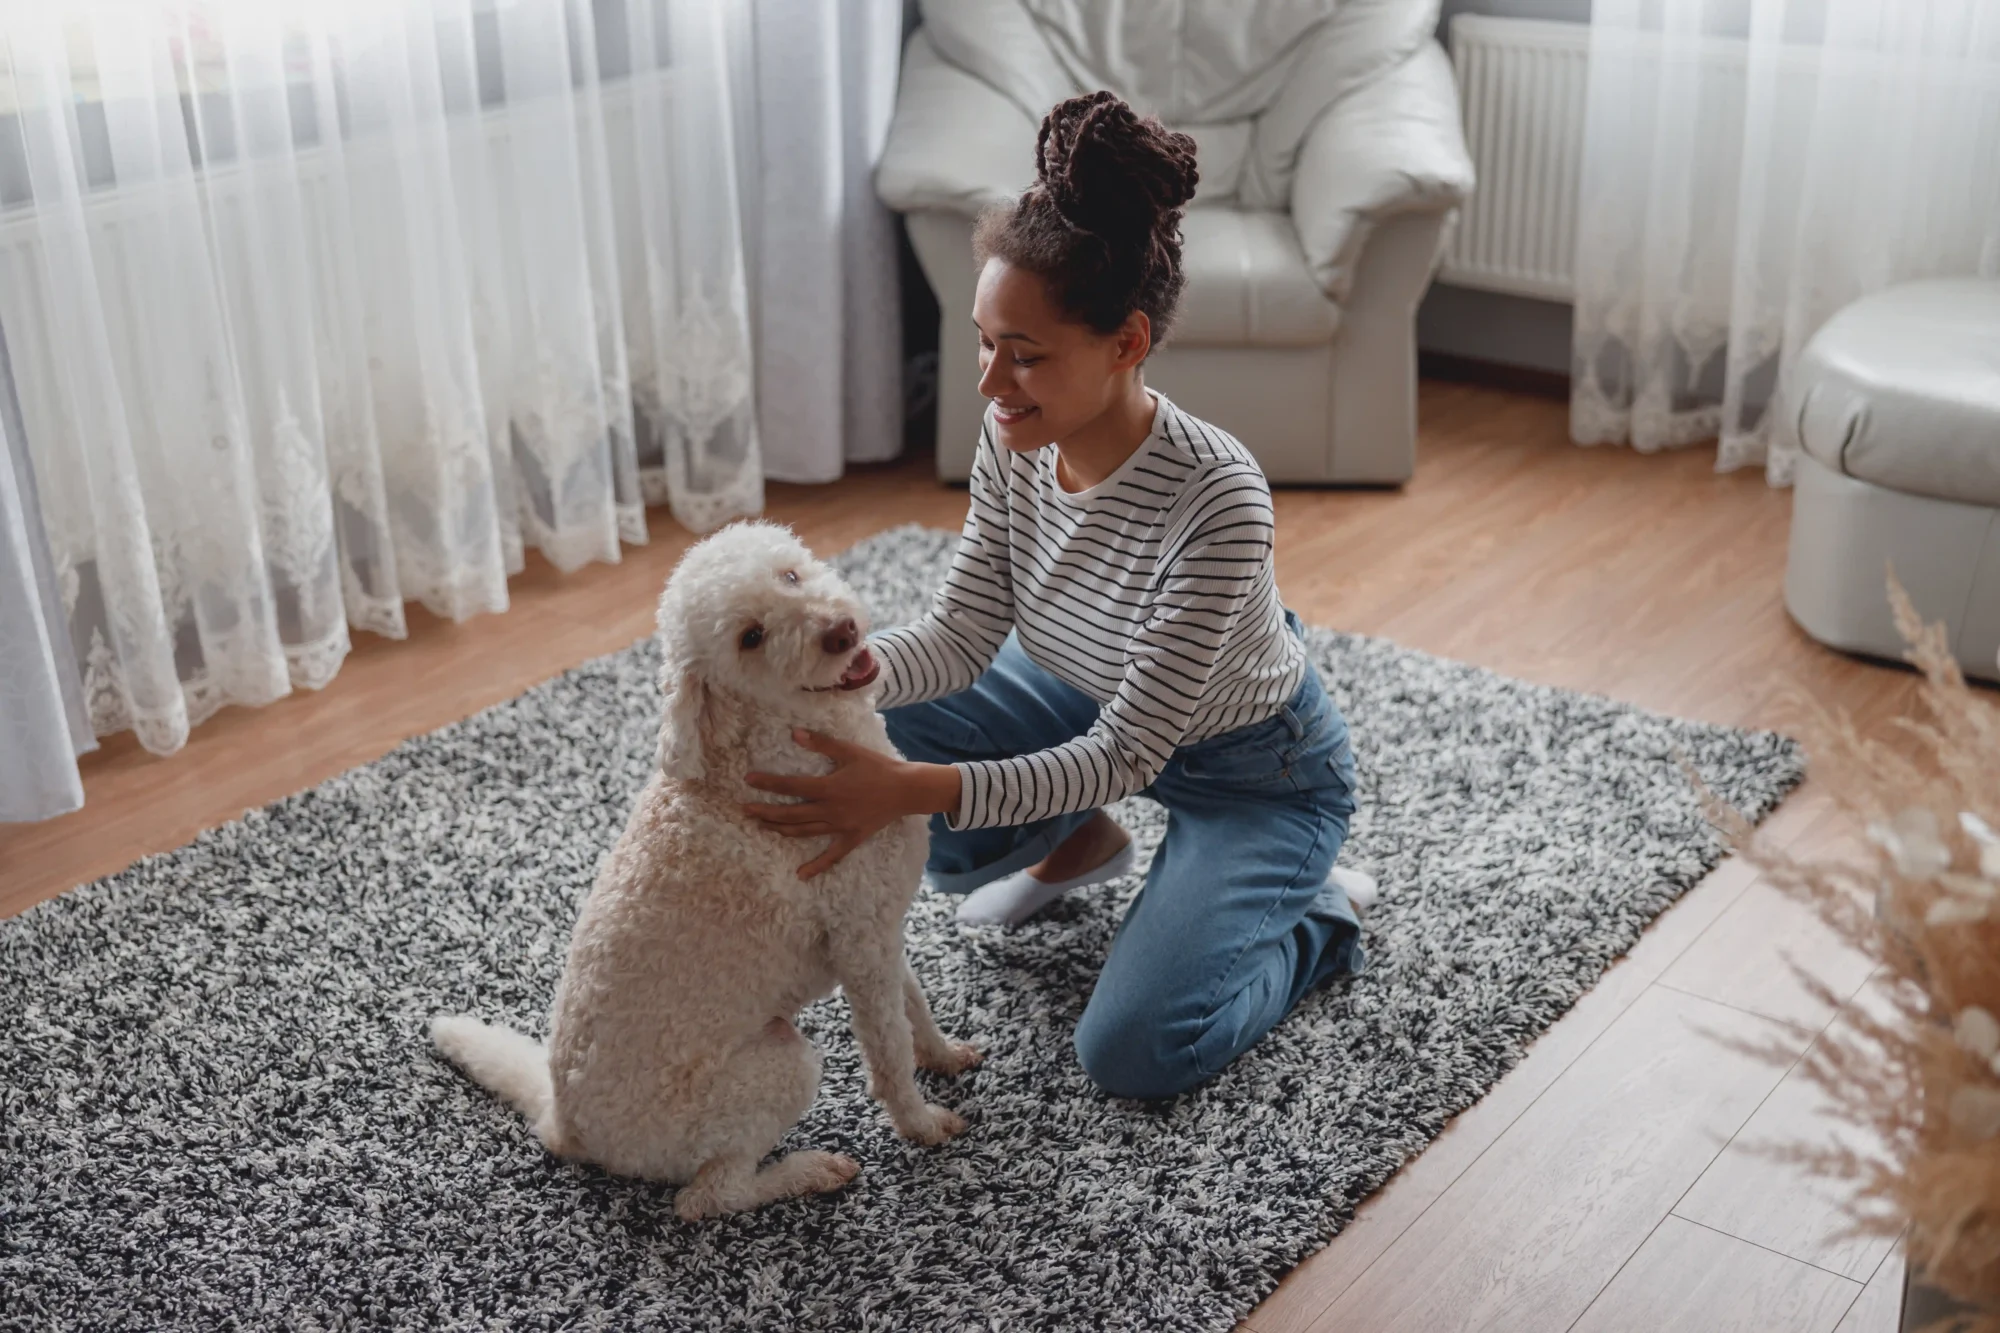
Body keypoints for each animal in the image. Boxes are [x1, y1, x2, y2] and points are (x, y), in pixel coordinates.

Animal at [434, 520, 980, 1216]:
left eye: (790, 576)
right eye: (751, 637)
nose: (839, 632)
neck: (778, 744)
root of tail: (565, 1124)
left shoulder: (878, 929)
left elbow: (914, 1008)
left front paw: (942, 1054)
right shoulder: (860, 944)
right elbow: (888, 1052)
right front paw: (921, 1123)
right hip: (773, 1071)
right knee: (708, 1198)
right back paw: (808, 1171)